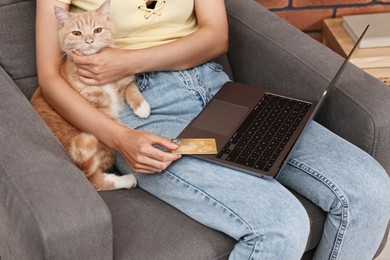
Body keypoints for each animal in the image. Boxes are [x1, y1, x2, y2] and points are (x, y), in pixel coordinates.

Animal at [30, 0, 148, 191]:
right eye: (77, 33)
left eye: (97, 30)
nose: (90, 41)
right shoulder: (98, 111)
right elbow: (118, 127)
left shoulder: (123, 78)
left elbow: (131, 87)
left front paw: (142, 107)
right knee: (95, 179)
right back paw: (127, 180)